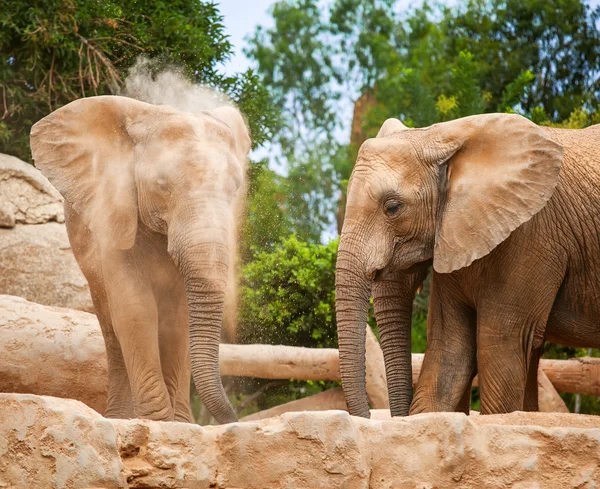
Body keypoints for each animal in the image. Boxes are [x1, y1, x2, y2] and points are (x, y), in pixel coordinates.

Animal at [29, 95, 251, 424]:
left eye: (235, 188)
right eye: (161, 186)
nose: (232, 420)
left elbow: (177, 317)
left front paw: (178, 426)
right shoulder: (115, 211)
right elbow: (135, 309)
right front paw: (156, 422)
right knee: (111, 327)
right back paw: (120, 419)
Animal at [336, 113, 600, 416]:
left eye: (392, 208)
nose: (368, 416)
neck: (442, 135)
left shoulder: (531, 235)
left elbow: (500, 347)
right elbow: (450, 350)